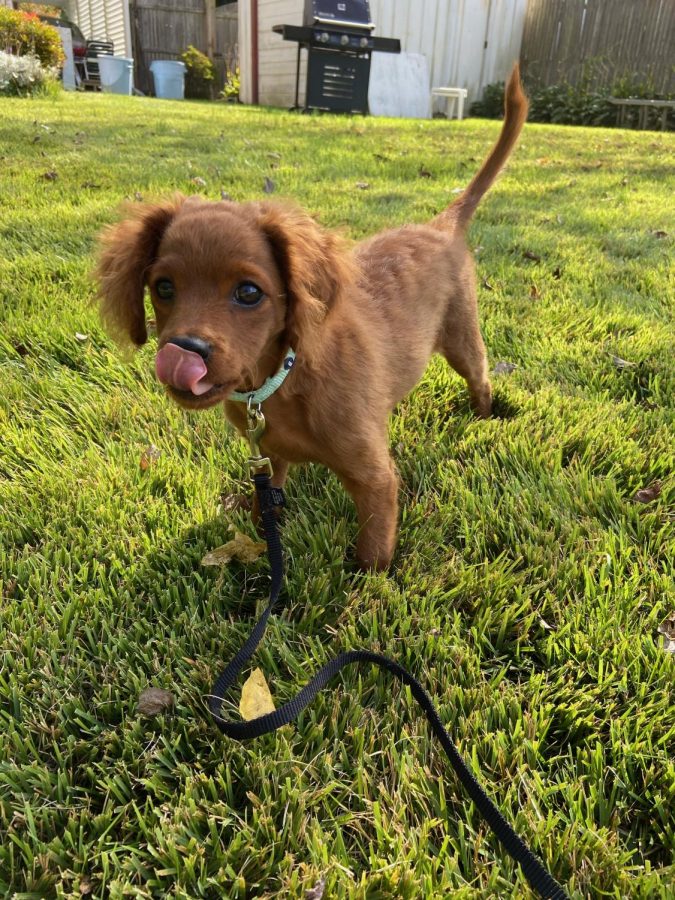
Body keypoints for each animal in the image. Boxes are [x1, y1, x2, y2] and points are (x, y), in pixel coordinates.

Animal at [96, 65, 528, 568]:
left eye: (249, 292)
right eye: (163, 288)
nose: (183, 353)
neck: (278, 380)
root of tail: (440, 226)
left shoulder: (374, 478)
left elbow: (373, 552)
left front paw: (366, 584)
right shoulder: (266, 455)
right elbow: (267, 500)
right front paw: (256, 525)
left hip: (462, 337)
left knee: (481, 377)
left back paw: (482, 417)